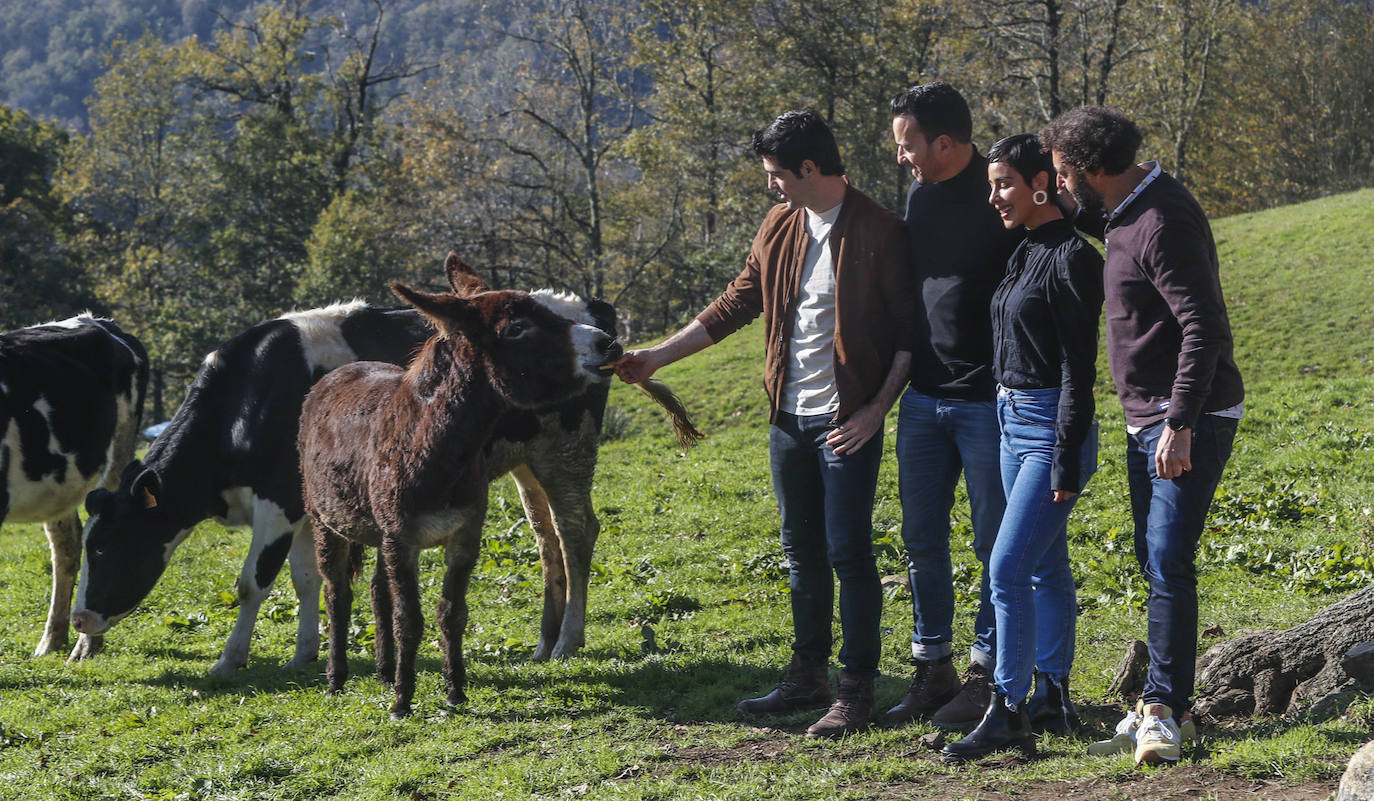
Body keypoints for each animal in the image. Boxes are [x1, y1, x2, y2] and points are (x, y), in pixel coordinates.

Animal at [77, 255, 645, 670]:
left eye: (106, 547)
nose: (80, 619)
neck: (249, 397)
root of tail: (590, 308)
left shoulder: (278, 502)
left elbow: (253, 582)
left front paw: (230, 659)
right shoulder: (309, 500)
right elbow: (307, 577)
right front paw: (305, 653)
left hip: (567, 449)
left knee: (576, 532)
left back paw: (568, 639)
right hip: (529, 459)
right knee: (547, 538)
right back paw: (545, 643)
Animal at [305, 266, 623, 719]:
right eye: (517, 328)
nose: (608, 343)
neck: (434, 445)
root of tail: (338, 374)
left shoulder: (465, 534)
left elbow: (452, 613)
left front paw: (454, 692)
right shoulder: (401, 539)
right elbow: (409, 619)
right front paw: (403, 701)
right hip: (325, 520)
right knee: (337, 594)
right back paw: (339, 678)